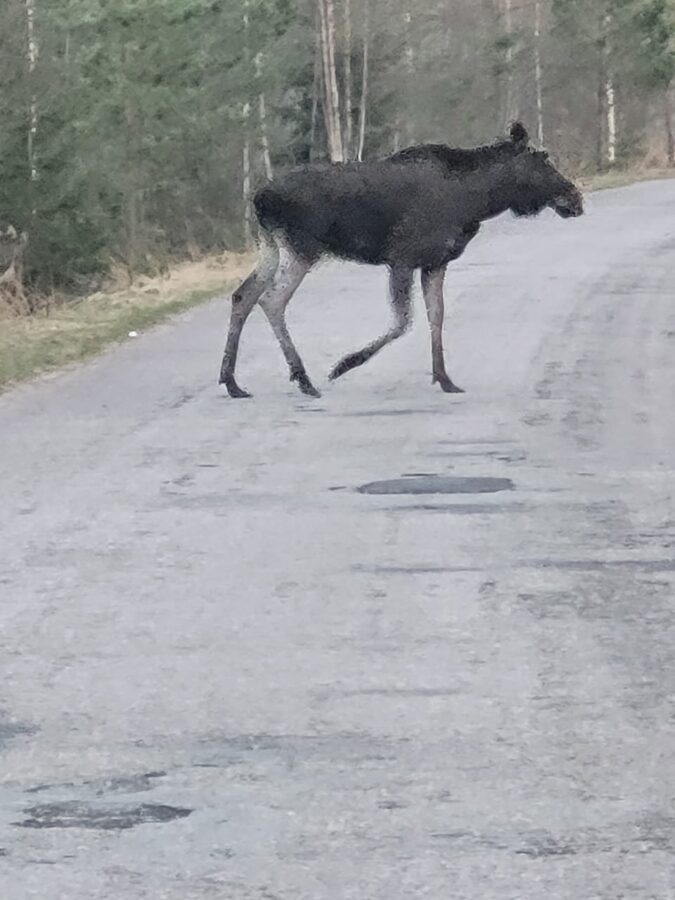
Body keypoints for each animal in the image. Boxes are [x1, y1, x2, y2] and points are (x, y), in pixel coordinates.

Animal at [219, 123, 584, 398]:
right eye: (543, 160)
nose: (576, 198)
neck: (477, 200)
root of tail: (258, 198)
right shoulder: (402, 258)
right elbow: (403, 321)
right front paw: (344, 365)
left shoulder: (434, 262)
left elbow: (436, 315)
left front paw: (445, 378)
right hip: (301, 249)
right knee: (272, 299)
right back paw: (303, 379)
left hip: (270, 247)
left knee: (243, 295)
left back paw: (232, 381)